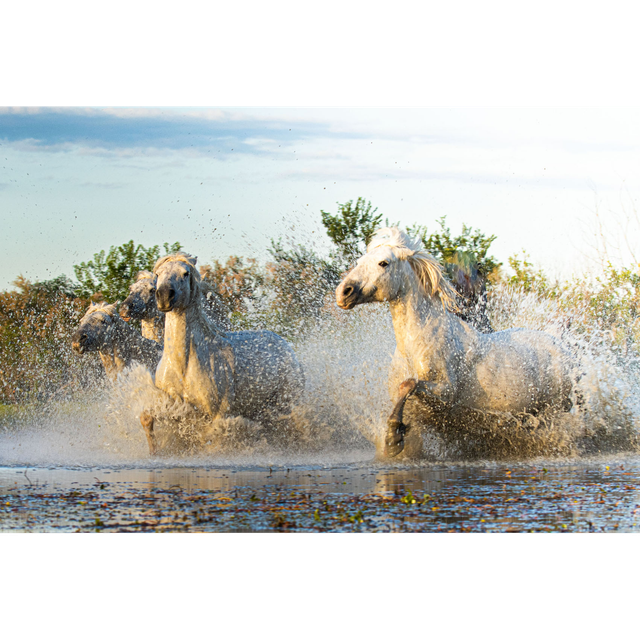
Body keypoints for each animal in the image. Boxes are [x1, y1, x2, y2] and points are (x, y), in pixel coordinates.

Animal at [139, 252, 305, 455]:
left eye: (185, 273)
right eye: (158, 274)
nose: (163, 296)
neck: (183, 364)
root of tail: (285, 345)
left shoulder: (218, 414)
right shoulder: (173, 405)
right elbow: (147, 417)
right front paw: (154, 452)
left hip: (286, 401)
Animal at [335, 227, 575, 459]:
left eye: (384, 263)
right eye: (359, 261)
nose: (343, 292)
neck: (417, 344)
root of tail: (562, 345)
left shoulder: (446, 392)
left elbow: (409, 385)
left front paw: (393, 437)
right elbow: (403, 398)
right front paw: (396, 439)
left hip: (555, 408)